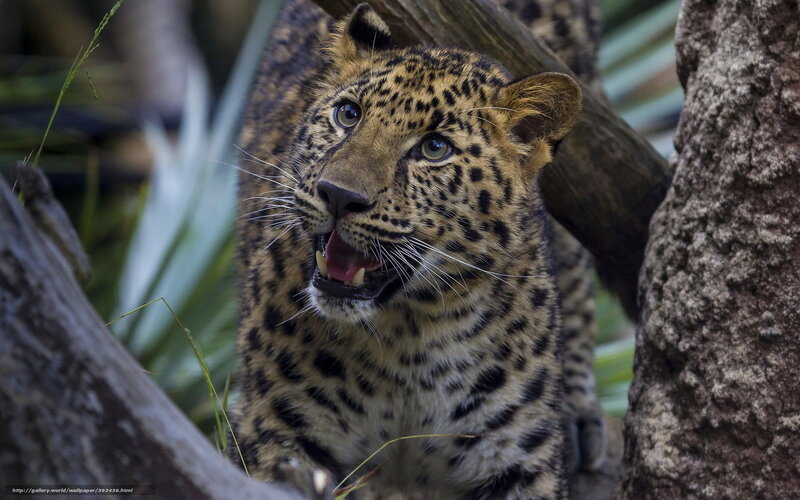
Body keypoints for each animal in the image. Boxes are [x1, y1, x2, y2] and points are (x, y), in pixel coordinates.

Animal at [233, 1, 606, 498]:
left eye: (434, 148)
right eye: (348, 115)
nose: (338, 195)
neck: (407, 339)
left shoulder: (518, 464)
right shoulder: (277, 433)